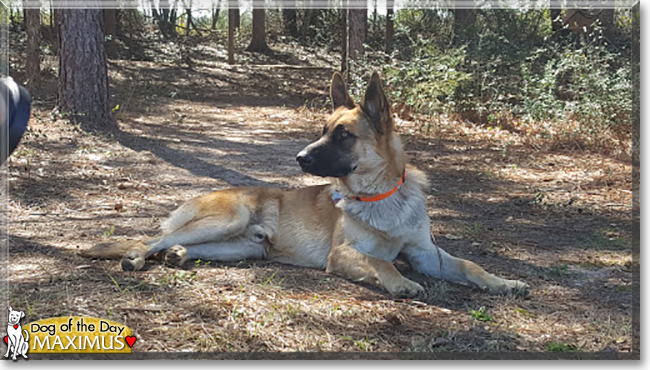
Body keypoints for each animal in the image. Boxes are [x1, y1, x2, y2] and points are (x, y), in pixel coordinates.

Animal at [79, 72, 528, 298]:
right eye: (323, 130)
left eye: (343, 135)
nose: (299, 158)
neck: (380, 196)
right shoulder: (343, 254)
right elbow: (382, 262)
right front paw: (400, 282)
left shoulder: (426, 254)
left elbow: (470, 265)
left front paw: (503, 283)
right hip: (227, 219)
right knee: (148, 239)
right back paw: (136, 257)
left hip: (242, 248)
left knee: (176, 246)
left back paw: (176, 255)